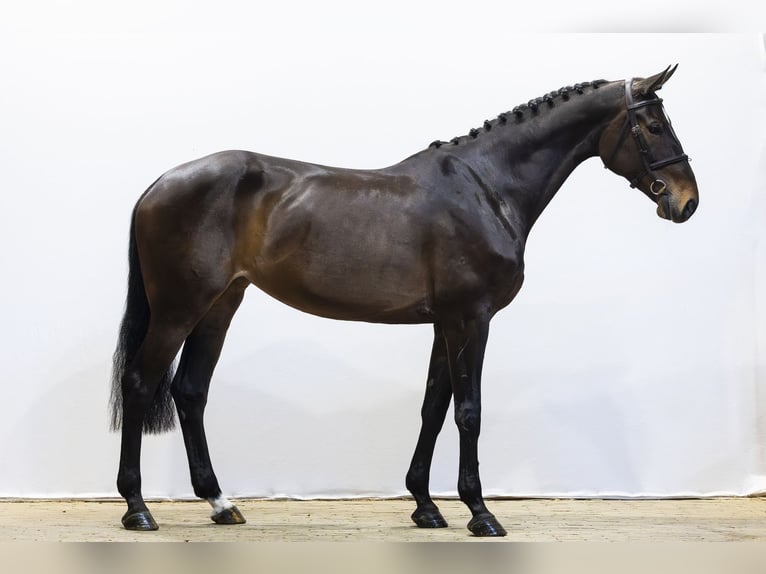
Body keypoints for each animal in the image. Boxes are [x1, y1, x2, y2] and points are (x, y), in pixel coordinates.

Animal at [110, 66, 698, 537]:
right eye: (652, 125)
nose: (687, 201)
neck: (487, 188)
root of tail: (159, 185)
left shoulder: (444, 323)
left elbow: (433, 407)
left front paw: (425, 506)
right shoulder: (471, 319)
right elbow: (468, 411)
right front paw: (480, 513)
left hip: (219, 305)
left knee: (190, 392)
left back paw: (220, 502)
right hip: (179, 309)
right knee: (140, 382)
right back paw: (138, 508)